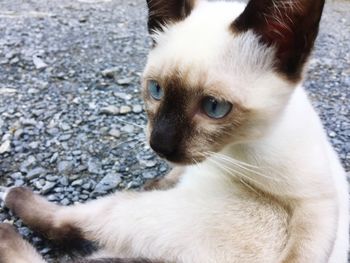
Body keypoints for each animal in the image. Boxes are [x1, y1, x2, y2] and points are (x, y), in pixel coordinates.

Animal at [0, 0, 350, 262]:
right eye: (156, 90)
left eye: (214, 107)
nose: (160, 145)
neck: (232, 152)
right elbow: (174, 173)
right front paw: (159, 179)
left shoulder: (315, 205)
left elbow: (303, 253)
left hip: (139, 212)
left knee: (67, 224)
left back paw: (10, 204)